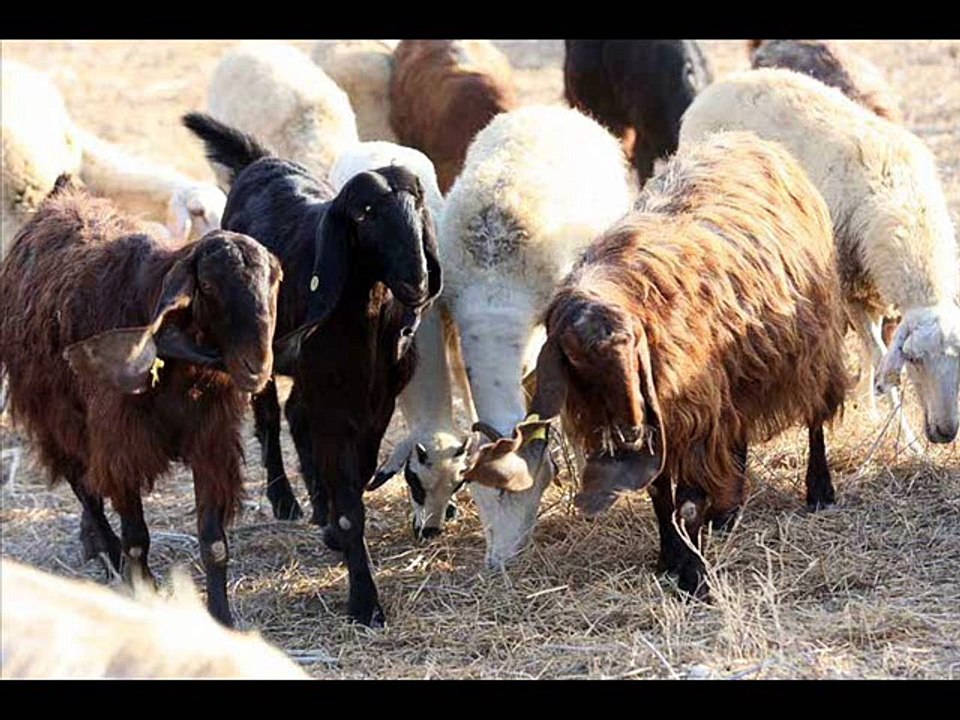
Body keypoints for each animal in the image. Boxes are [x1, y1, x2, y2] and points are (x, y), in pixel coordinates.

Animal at [0, 175, 282, 627]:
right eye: (207, 286)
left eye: (274, 279)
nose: (256, 367)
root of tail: (63, 193)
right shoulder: (121, 447)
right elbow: (136, 538)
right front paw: (142, 588)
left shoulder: (209, 445)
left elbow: (214, 544)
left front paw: (221, 619)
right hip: (54, 416)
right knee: (83, 486)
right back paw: (105, 549)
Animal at [183, 112, 441, 627]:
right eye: (363, 213)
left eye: (418, 202)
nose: (417, 279)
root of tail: (262, 161)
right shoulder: (332, 403)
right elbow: (348, 504)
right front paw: (365, 602)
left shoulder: (375, 405)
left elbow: (359, 474)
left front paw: (336, 529)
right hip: (260, 358)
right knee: (270, 416)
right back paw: (285, 497)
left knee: (295, 416)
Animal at [467, 131, 850, 595]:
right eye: (574, 355)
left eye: (631, 345)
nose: (631, 429)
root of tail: (746, 138)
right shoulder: (673, 415)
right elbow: (661, 496)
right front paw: (670, 558)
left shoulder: (690, 414)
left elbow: (686, 503)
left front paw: (694, 577)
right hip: (735, 373)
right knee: (737, 429)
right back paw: (728, 511)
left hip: (814, 346)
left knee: (815, 416)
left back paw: (819, 490)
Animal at [680, 68, 960, 448]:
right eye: (914, 358)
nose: (946, 434)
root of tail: (728, 81)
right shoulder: (848, 291)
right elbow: (878, 356)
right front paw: (908, 442)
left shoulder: (869, 292)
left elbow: (873, 356)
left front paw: (870, 411)